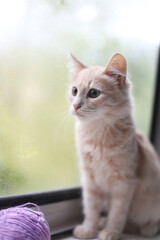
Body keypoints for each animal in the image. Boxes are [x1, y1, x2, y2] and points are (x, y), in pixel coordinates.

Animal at [68, 53, 160, 240]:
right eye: (74, 91)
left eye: (94, 93)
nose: (75, 105)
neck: (97, 136)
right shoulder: (90, 180)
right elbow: (91, 209)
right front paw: (89, 229)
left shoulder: (124, 182)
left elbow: (117, 214)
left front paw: (111, 231)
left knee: (147, 224)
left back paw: (145, 228)